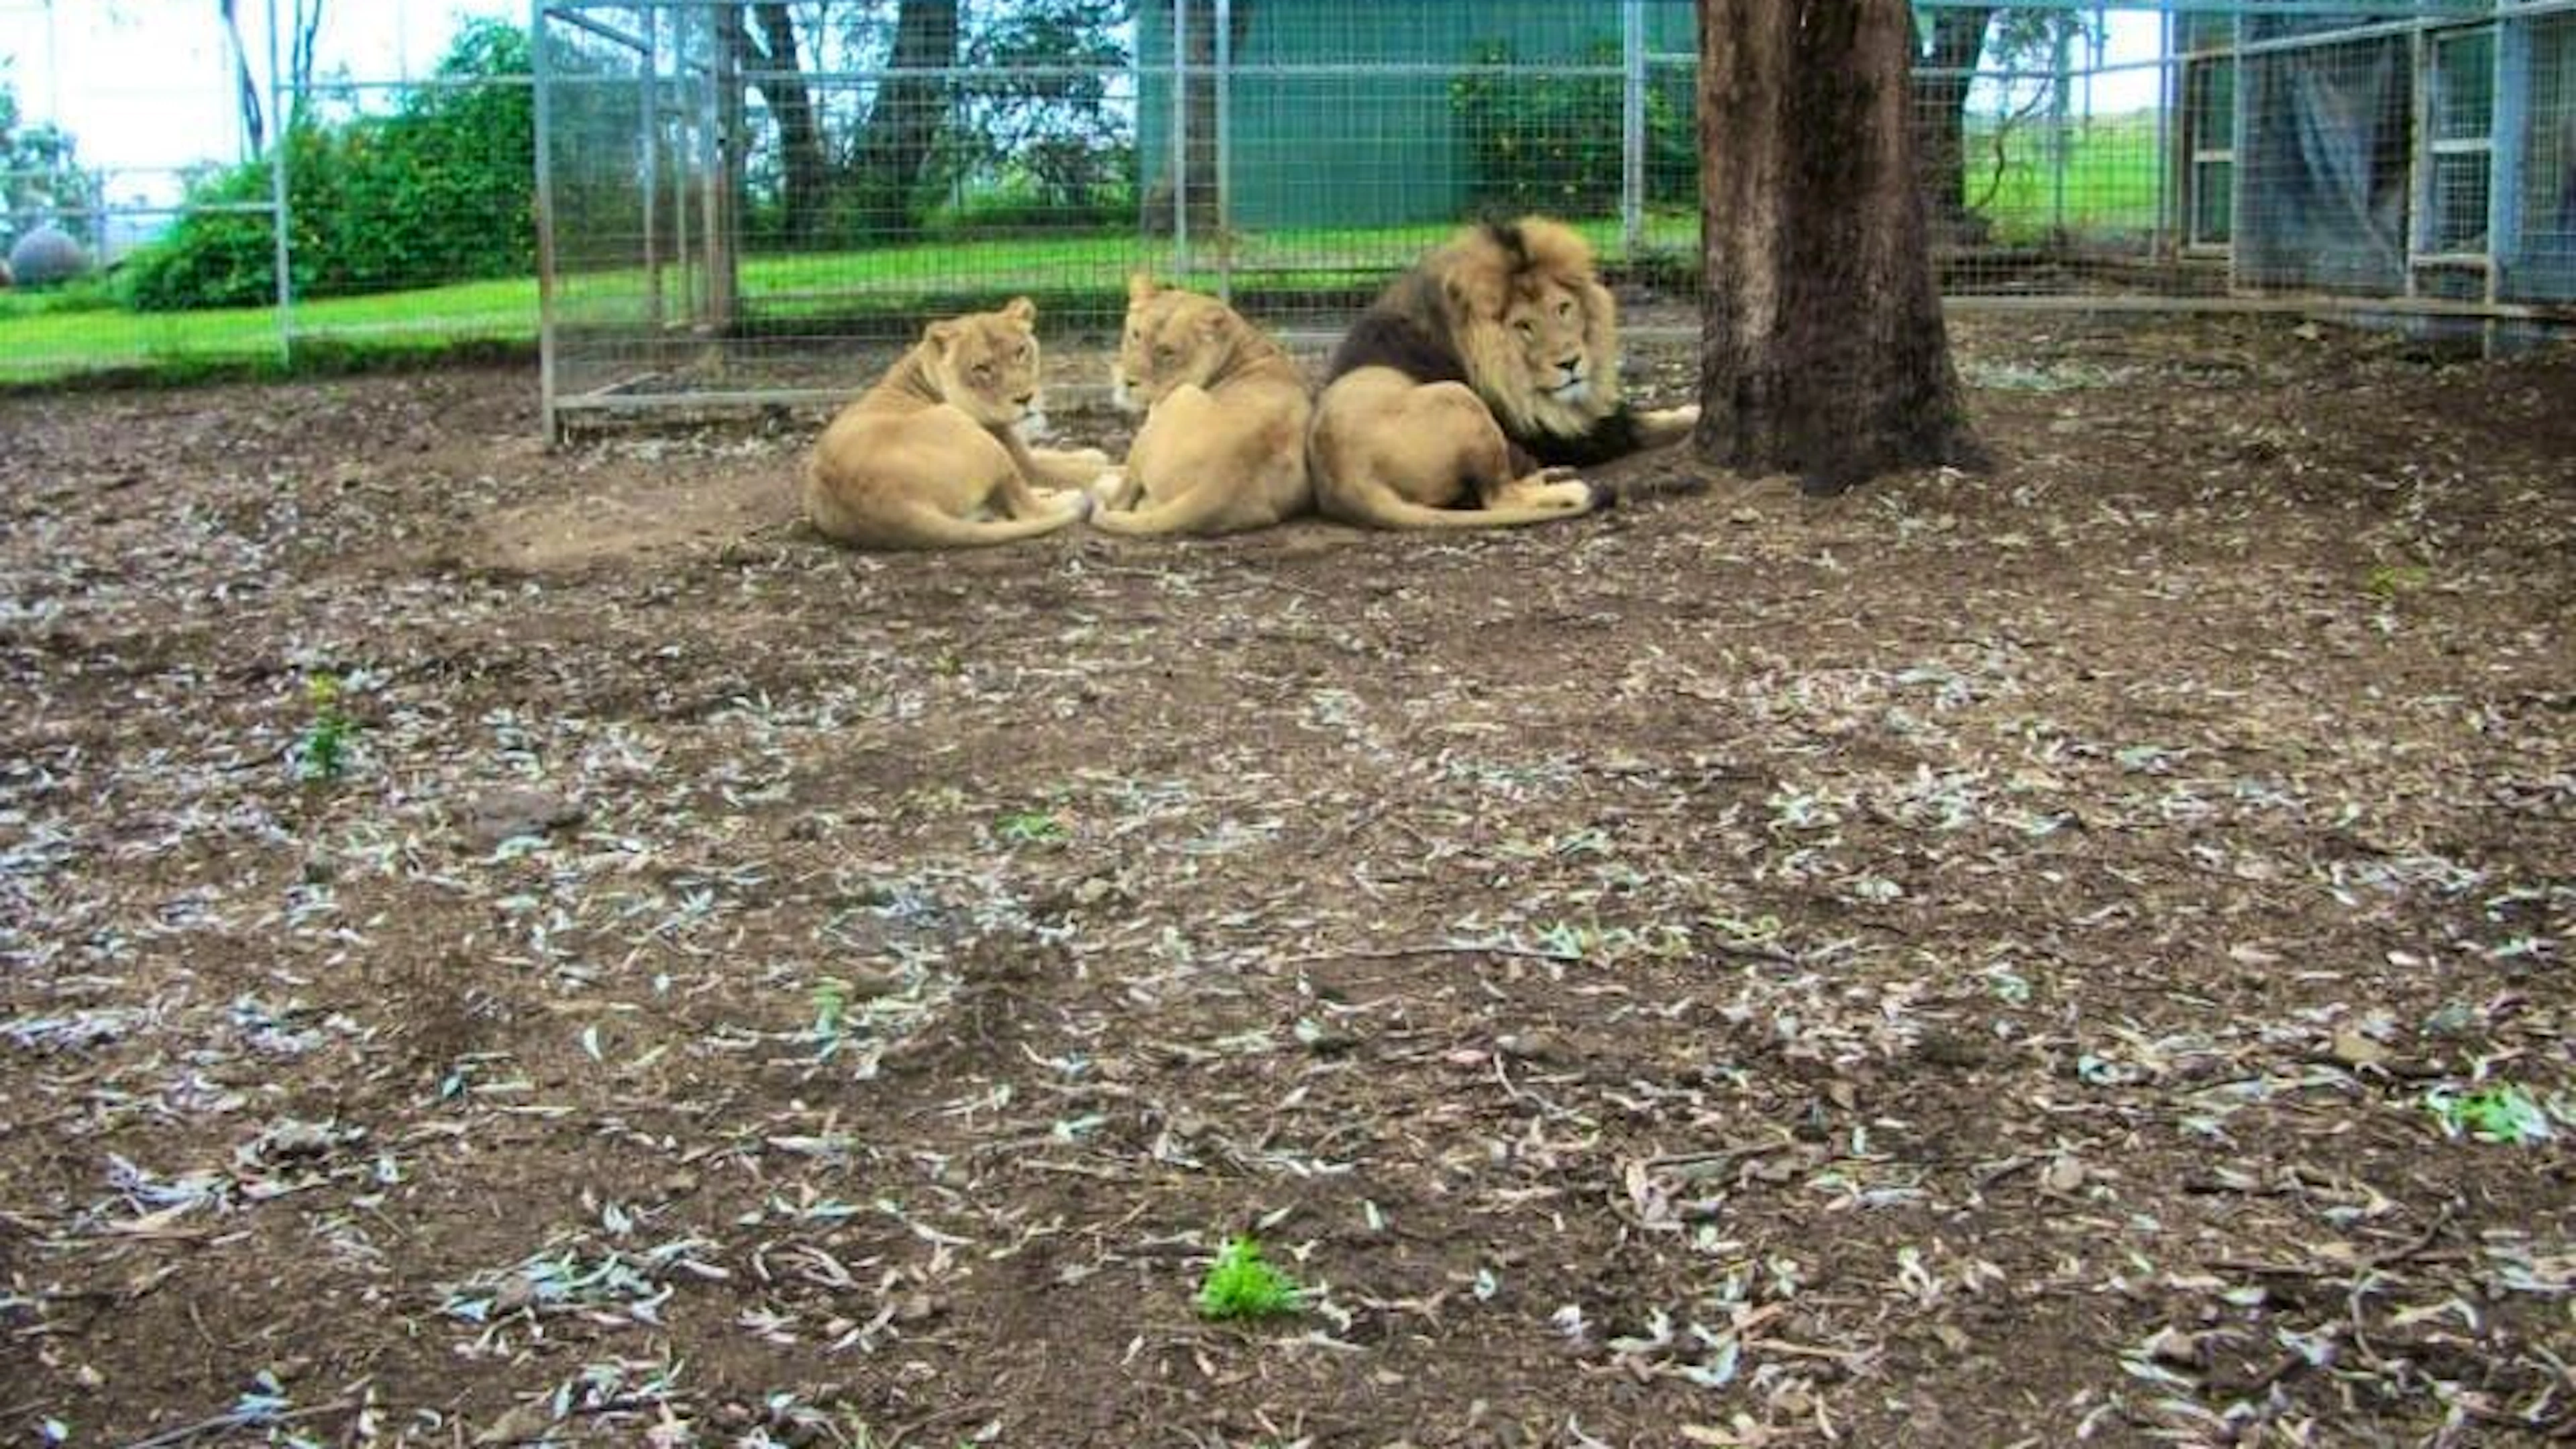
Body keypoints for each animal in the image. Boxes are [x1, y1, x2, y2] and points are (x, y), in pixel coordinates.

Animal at [803, 297, 1110, 550]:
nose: (1025, 399)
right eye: (982, 368)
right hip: (971, 434)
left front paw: (1093, 453)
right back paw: (1073, 496)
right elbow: (1071, 469)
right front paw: (1103, 471)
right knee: (1030, 509)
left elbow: (1059, 454)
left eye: (1021, 351)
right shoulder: (1024, 464)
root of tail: (889, 508)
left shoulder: (1019, 449)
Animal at [1089, 275, 1312, 537]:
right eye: (1135, 335)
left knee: (1121, 499)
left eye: (1167, 352)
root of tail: (1221, 483)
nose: (1128, 381)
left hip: (1177, 398)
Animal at [1308, 215, 1698, 531]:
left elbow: (1655, 417)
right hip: (1459, 398)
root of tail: (1347, 483)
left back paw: (1550, 475)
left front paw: (1690, 409)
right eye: (1524, 326)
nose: (1570, 363)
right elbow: (1641, 427)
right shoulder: (1555, 434)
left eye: (1563, 309)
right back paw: (1569, 486)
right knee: (1497, 497)